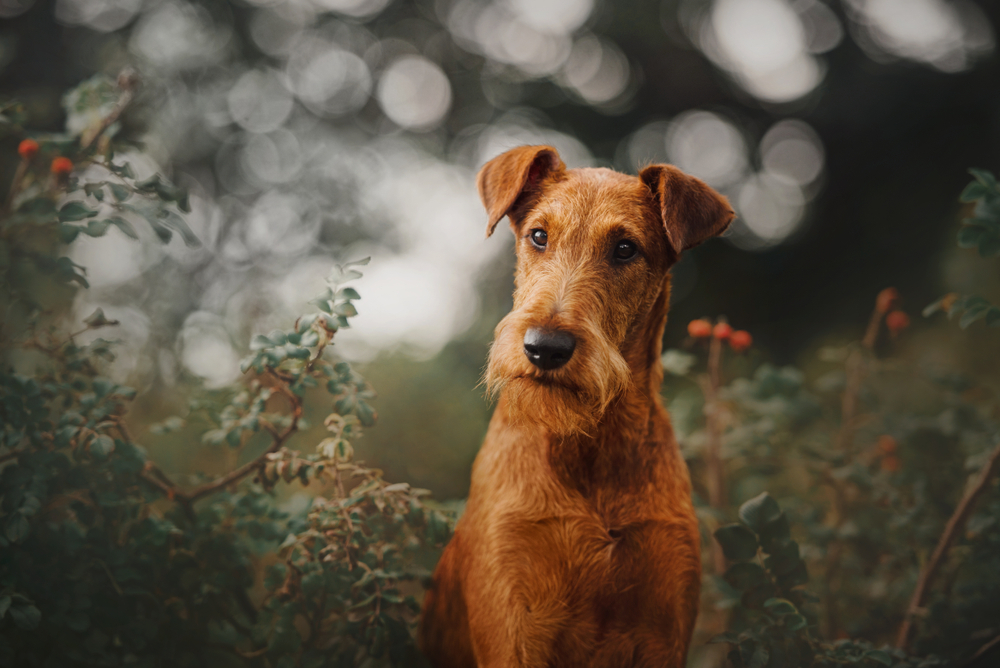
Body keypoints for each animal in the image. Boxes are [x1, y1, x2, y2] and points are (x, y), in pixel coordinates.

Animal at [418, 146, 732, 668]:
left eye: (625, 248)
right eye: (538, 236)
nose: (545, 348)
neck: (588, 449)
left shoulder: (663, 631)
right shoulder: (514, 628)